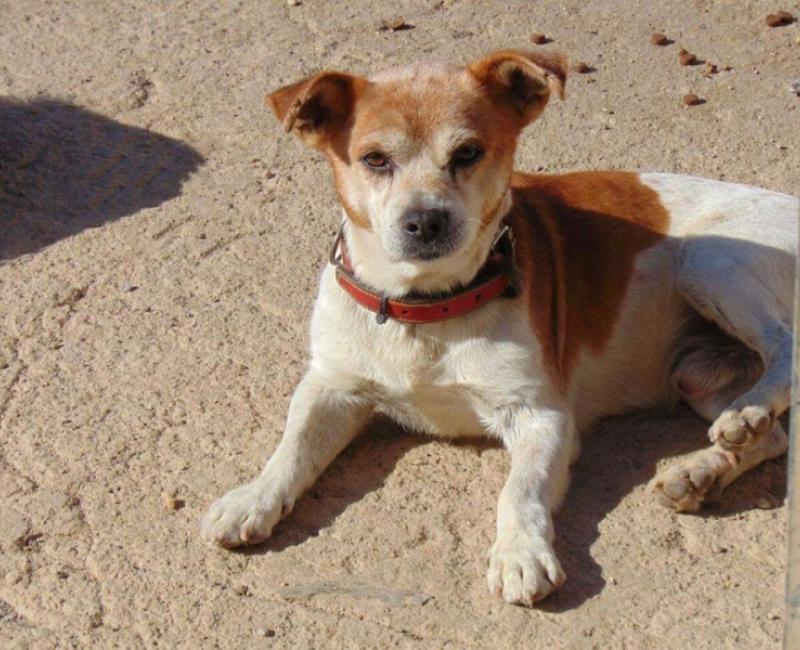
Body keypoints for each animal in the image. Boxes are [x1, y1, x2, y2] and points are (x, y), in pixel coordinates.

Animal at [201, 49, 798, 606]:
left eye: (467, 154)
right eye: (374, 159)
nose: (425, 220)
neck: (426, 308)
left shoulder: (542, 416)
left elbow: (518, 492)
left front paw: (520, 554)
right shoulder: (331, 387)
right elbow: (292, 447)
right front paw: (252, 498)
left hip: (708, 261)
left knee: (785, 352)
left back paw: (743, 416)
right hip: (698, 374)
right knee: (773, 436)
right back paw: (701, 470)